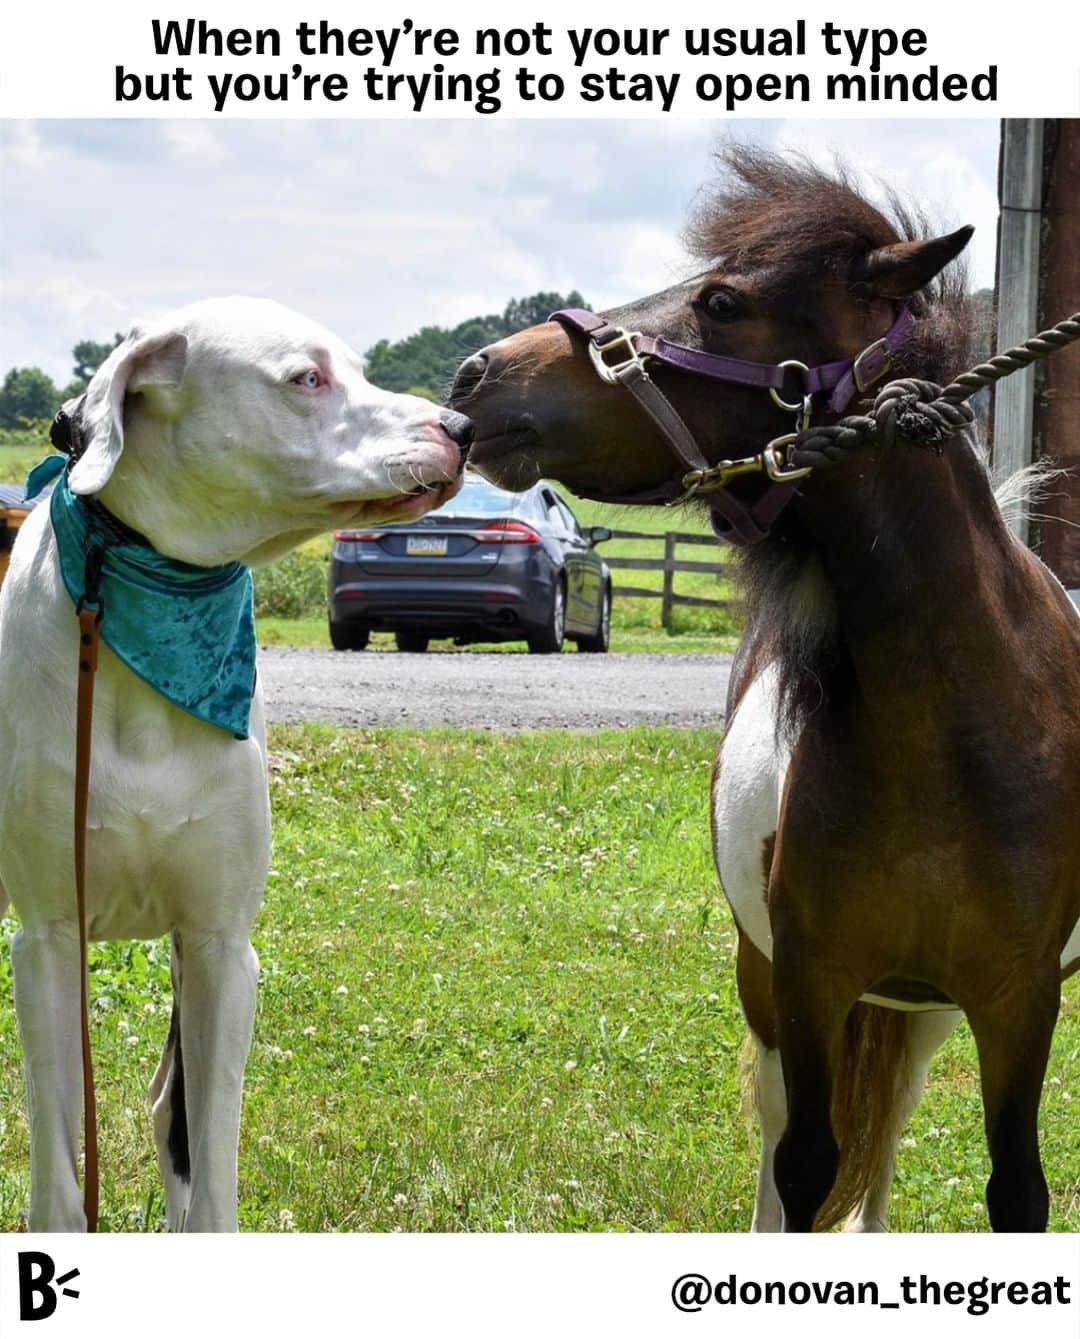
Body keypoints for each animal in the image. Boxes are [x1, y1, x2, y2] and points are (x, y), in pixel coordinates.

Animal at [1, 298, 473, 1226]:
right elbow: (59, 1175)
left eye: (360, 369)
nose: (461, 427)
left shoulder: (220, 946)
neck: (152, 605)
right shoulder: (48, 941)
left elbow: (211, 1168)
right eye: (307, 378)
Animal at [449, 149, 1080, 1231]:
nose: (477, 374)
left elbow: (1015, 1190)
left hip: (921, 1005)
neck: (957, 726)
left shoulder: (1017, 995)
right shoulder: (811, 980)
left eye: (723, 301)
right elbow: (804, 1164)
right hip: (784, 988)